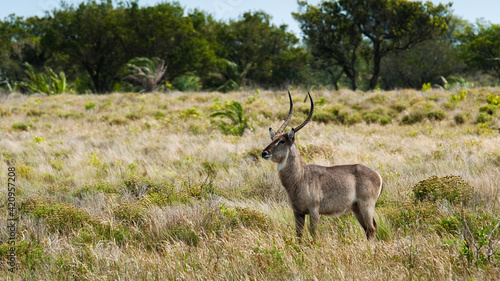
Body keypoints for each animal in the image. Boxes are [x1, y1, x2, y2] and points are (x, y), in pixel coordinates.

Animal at [262, 91, 382, 238]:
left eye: (282, 141)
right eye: (273, 139)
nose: (264, 152)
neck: (301, 176)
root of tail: (377, 175)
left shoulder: (314, 211)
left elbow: (313, 233)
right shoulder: (298, 212)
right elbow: (299, 235)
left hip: (366, 206)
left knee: (371, 228)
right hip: (357, 209)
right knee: (368, 229)